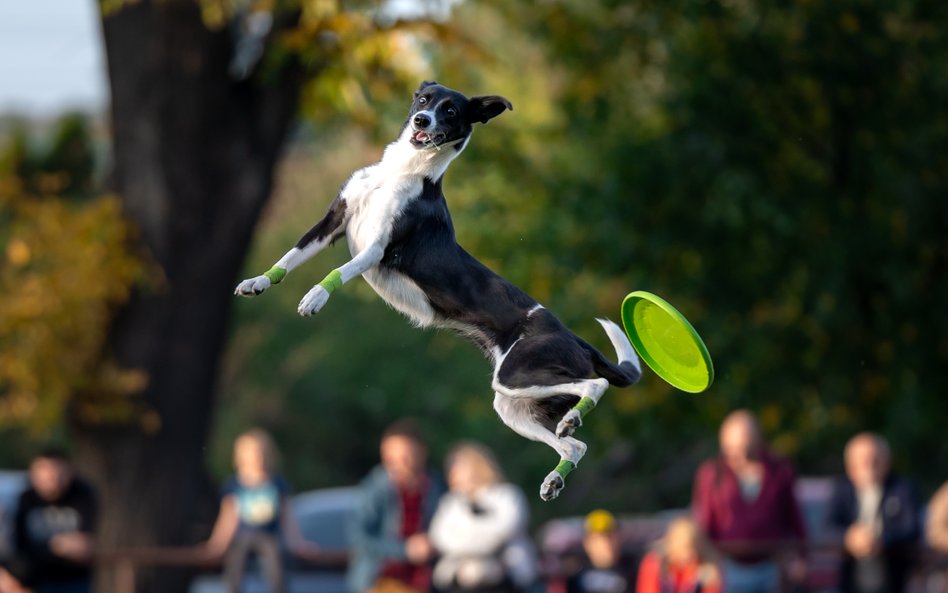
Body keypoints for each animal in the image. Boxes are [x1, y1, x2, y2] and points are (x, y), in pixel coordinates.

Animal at [233, 82, 640, 500]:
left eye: (451, 111)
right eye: (424, 100)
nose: (421, 121)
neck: (402, 172)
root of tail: (576, 340)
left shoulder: (376, 248)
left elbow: (338, 270)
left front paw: (316, 296)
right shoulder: (333, 221)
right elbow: (291, 255)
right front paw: (258, 282)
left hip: (520, 373)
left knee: (595, 385)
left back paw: (575, 417)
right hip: (512, 403)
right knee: (575, 445)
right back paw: (556, 472)